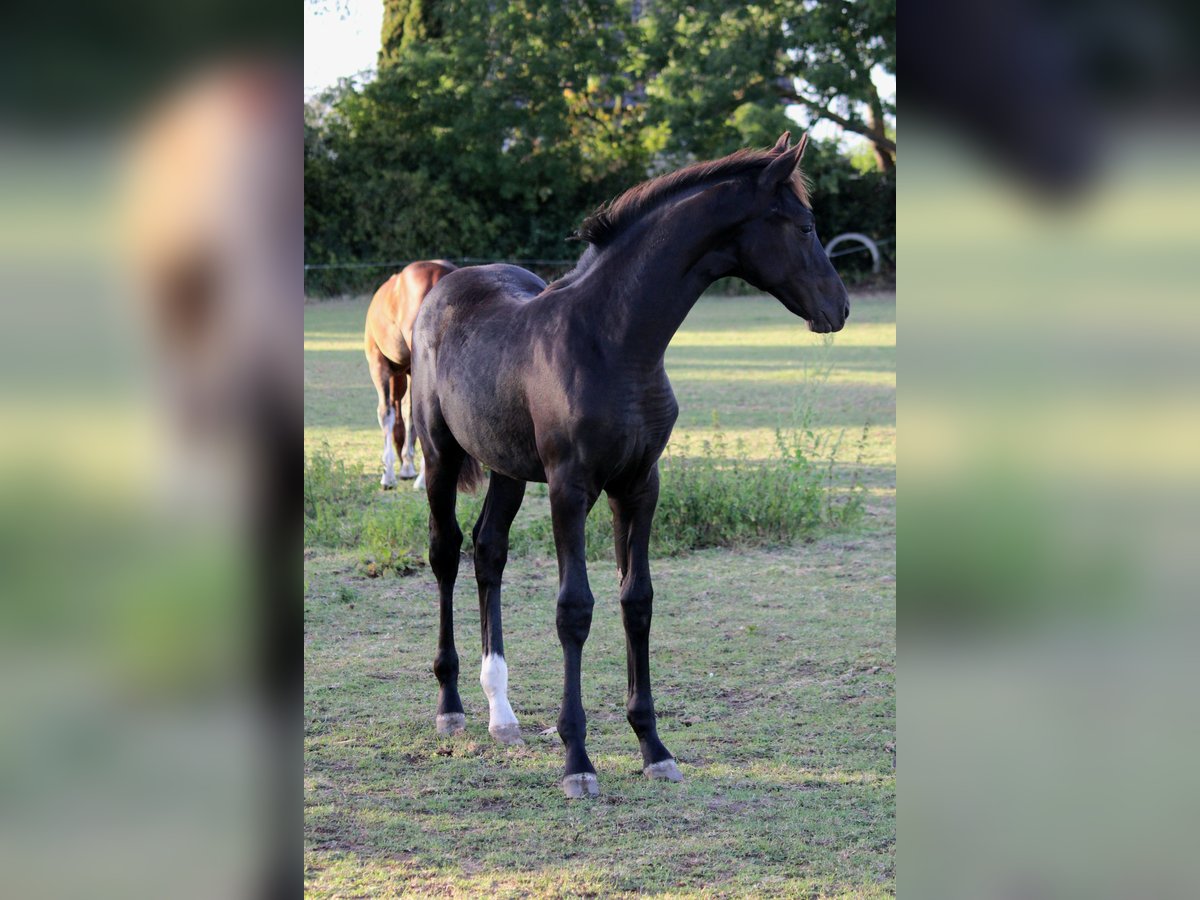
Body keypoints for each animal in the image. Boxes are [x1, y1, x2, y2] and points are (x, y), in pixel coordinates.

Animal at [365, 260, 457, 489]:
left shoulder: (378, 364)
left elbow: (386, 413)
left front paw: (388, 475)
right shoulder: (407, 372)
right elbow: (408, 413)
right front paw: (407, 466)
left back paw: (423, 479)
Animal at [410, 133, 849, 798]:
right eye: (804, 226)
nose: (840, 307)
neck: (612, 342)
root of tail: (444, 285)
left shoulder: (639, 485)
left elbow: (635, 600)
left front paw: (654, 747)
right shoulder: (569, 488)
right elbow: (574, 609)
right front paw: (577, 760)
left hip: (507, 465)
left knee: (488, 551)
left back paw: (502, 713)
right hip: (440, 454)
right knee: (444, 552)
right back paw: (451, 705)